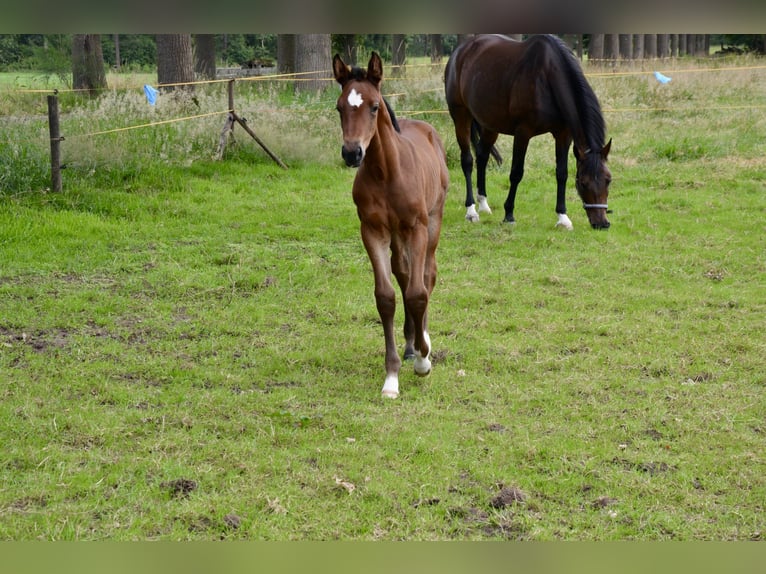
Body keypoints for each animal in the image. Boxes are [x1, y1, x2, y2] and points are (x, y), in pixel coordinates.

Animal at [332, 51, 450, 400]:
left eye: (374, 106)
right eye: (339, 107)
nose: (352, 153)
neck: (386, 172)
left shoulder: (417, 228)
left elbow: (418, 292)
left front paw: (424, 363)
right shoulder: (372, 231)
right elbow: (386, 296)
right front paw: (392, 377)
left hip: (433, 221)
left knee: (426, 275)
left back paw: (424, 342)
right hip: (397, 236)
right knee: (403, 272)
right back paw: (411, 344)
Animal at [444, 34, 612, 230]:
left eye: (608, 180)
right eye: (583, 183)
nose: (601, 223)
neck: (547, 77)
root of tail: (461, 50)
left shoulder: (563, 134)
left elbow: (561, 173)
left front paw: (563, 217)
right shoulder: (523, 133)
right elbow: (516, 172)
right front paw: (509, 214)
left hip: (490, 125)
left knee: (482, 157)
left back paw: (484, 204)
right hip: (460, 116)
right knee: (468, 161)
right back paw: (471, 210)